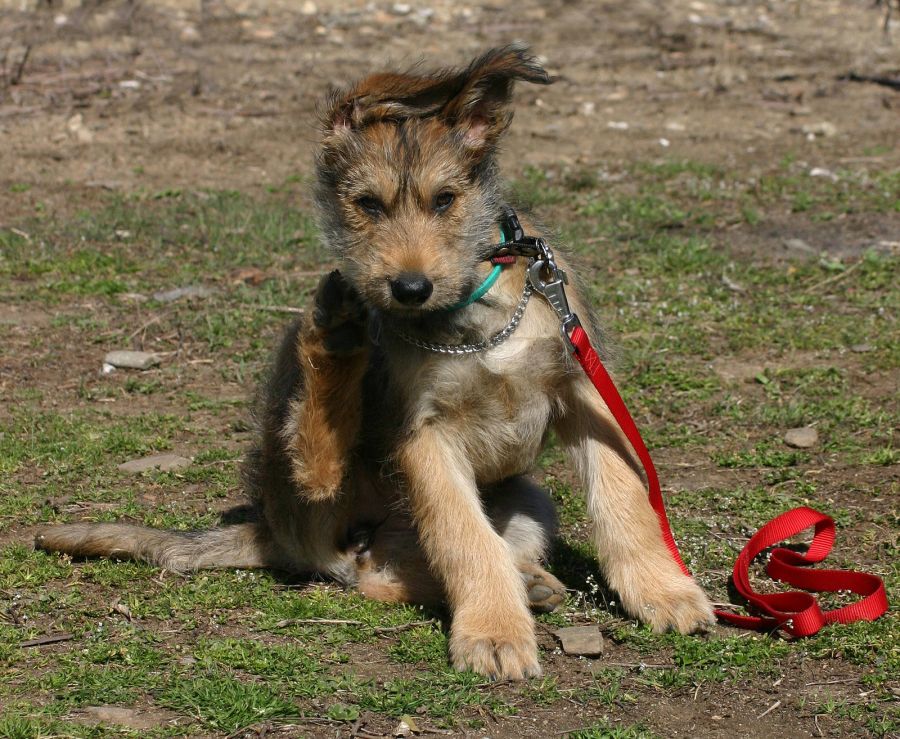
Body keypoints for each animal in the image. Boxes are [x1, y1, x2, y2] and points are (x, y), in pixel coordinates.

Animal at [35, 46, 712, 684]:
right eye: (367, 204)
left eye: (445, 201)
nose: (408, 288)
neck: (475, 315)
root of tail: (277, 533)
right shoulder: (422, 433)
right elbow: (464, 539)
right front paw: (494, 632)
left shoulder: (583, 391)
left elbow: (623, 500)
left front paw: (663, 592)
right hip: (301, 454)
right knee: (329, 488)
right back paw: (335, 337)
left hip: (527, 499)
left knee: (409, 566)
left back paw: (529, 582)